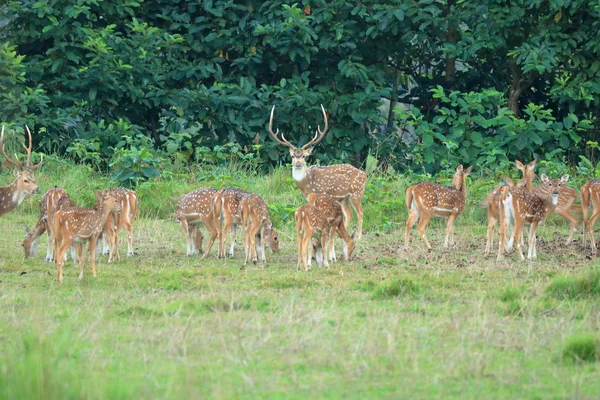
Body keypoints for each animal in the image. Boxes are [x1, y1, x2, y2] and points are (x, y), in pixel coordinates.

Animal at [270, 104, 368, 239]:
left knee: (360, 212)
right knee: (349, 214)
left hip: (356, 193)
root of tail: (364, 175)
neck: (307, 184)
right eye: (293, 156)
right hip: (344, 198)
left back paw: (358, 237)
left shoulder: (317, 195)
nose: (298, 163)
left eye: (304, 156)